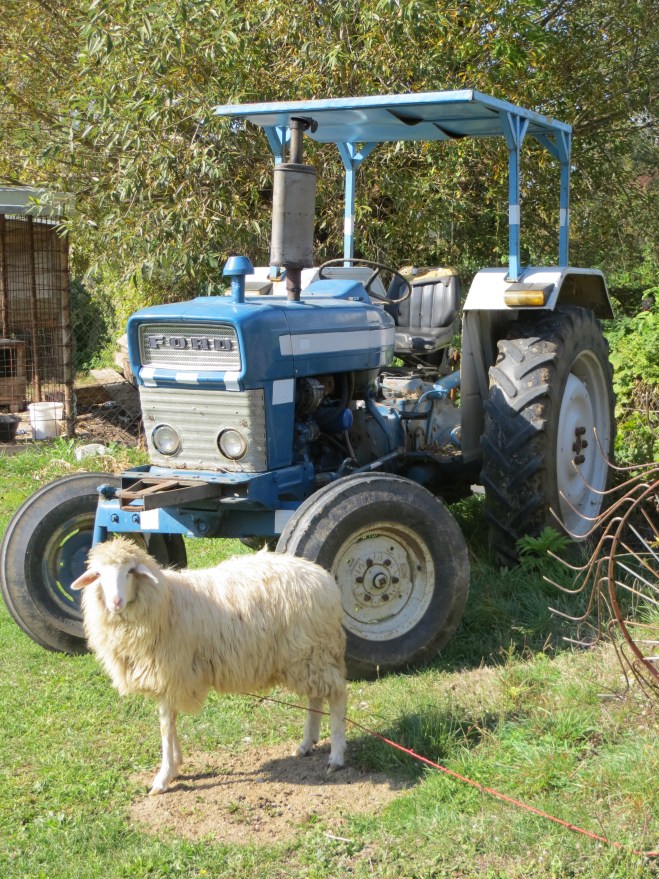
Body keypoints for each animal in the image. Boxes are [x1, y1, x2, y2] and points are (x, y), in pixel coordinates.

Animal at [71, 536, 347, 795]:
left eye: (130, 571)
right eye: (98, 575)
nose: (115, 602)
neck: (163, 602)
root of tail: (325, 579)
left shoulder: (172, 672)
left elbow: (165, 726)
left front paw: (164, 775)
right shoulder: (168, 679)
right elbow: (169, 721)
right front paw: (176, 763)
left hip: (312, 651)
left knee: (336, 695)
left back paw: (336, 756)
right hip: (308, 657)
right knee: (315, 696)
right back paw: (306, 744)